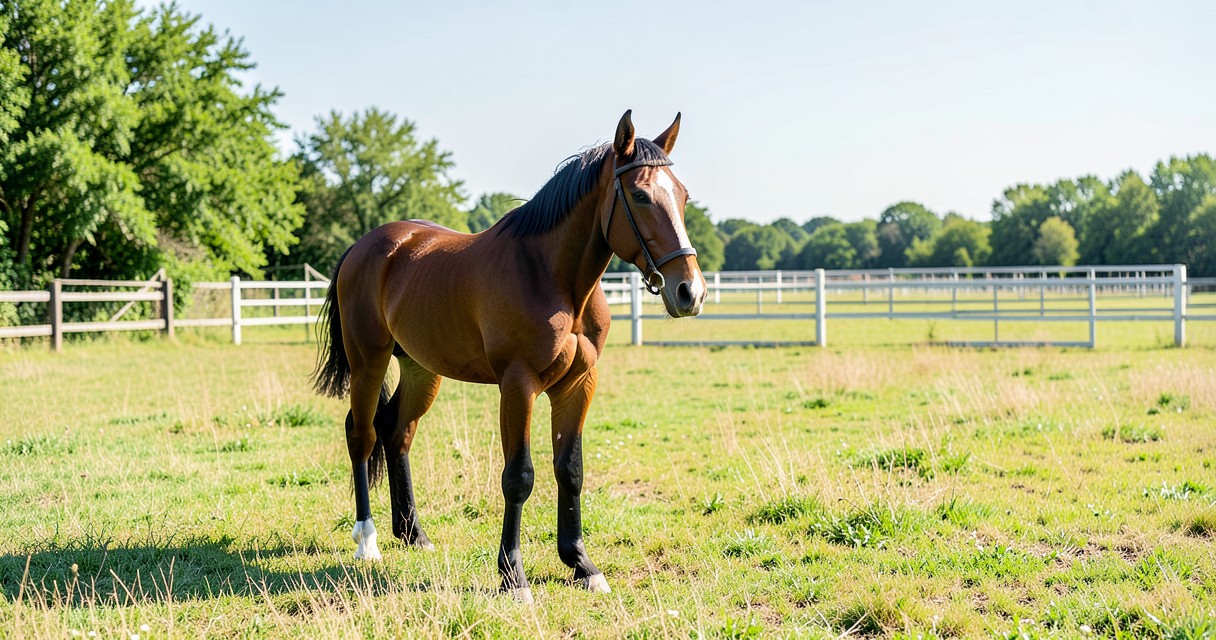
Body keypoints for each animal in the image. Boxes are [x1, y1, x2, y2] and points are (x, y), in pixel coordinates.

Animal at [311, 110, 706, 602]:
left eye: (683, 195)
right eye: (640, 195)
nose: (690, 292)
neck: (552, 277)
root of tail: (365, 247)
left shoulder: (578, 385)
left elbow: (570, 471)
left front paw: (581, 564)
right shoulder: (518, 386)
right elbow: (519, 477)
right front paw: (512, 576)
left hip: (421, 370)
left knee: (396, 432)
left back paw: (413, 533)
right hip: (369, 360)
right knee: (362, 436)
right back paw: (368, 541)